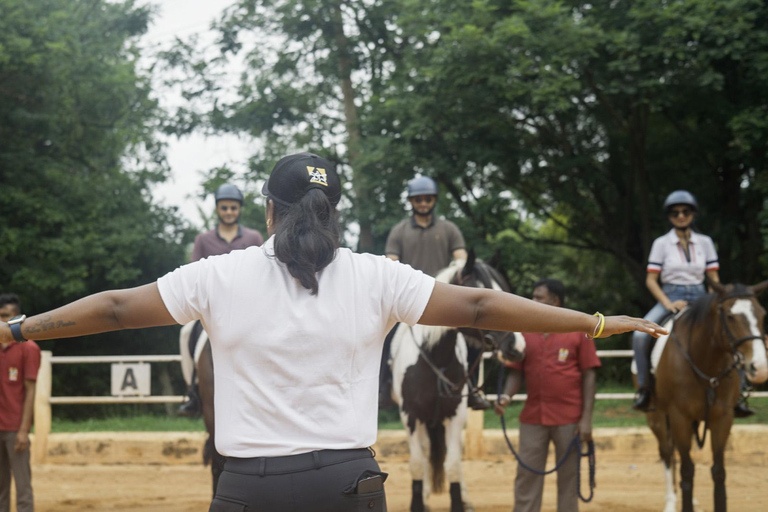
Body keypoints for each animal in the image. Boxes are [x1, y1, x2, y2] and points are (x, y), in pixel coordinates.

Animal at [392, 253, 524, 512]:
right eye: (479, 294)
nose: (517, 347)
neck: (435, 358)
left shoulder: (455, 415)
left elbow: (453, 464)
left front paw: (458, 500)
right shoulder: (409, 416)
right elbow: (416, 463)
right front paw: (418, 501)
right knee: (424, 452)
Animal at [640, 282, 768, 510]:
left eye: (762, 314)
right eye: (730, 316)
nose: (759, 367)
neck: (704, 362)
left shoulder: (723, 419)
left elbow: (718, 471)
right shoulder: (679, 417)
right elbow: (687, 470)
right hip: (657, 417)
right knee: (667, 453)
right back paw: (671, 502)